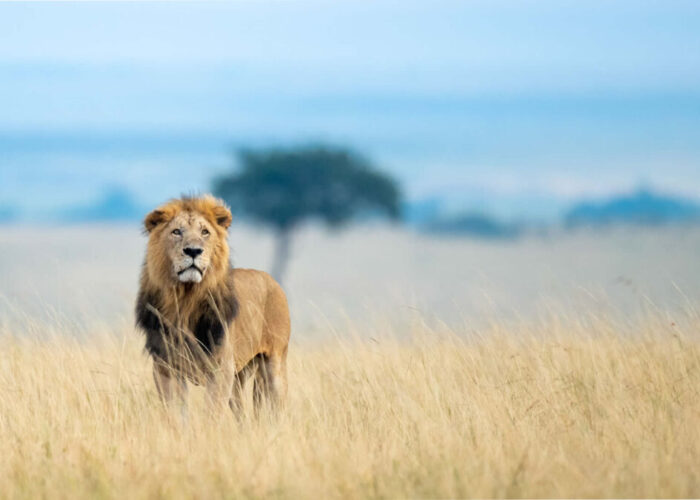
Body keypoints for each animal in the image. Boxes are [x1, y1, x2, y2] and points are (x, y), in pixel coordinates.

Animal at [135, 195, 290, 416]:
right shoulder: (165, 368)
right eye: (176, 231)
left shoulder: (221, 368)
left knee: (277, 407)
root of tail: (272, 280)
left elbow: (211, 412)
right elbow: (175, 413)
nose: (193, 251)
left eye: (204, 232)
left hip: (274, 365)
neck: (186, 300)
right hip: (238, 379)